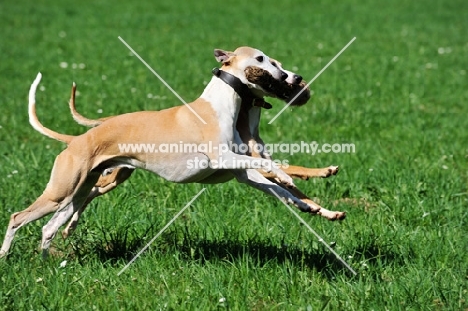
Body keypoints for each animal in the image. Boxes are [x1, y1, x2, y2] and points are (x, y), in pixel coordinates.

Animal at [0, 47, 344, 258]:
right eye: (262, 59)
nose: (291, 78)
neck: (222, 105)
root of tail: (76, 140)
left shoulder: (241, 172)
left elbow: (281, 190)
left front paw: (312, 206)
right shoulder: (226, 159)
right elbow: (278, 171)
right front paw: (291, 178)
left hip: (79, 190)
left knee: (49, 226)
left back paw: (47, 264)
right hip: (62, 190)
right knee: (18, 217)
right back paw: (6, 256)